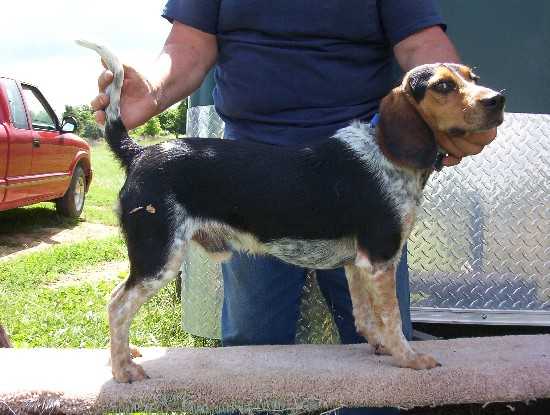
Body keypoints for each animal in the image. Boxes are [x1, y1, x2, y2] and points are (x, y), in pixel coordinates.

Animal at [77, 41, 504, 384]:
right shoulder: (381, 257)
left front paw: (382, 347)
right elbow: (393, 319)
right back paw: (123, 370)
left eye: (473, 77)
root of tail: (139, 152)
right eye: (443, 86)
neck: (386, 152)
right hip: (159, 256)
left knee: (118, 303)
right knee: (117, 304)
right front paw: (409, 359)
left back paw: (123, 354)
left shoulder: (358, 263)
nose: (497, 99)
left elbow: (366, 318)